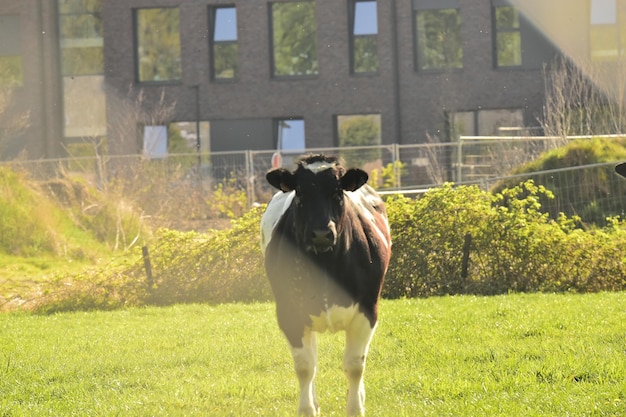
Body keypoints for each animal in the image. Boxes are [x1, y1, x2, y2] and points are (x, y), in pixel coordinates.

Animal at [260, 154, 390, 416]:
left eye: (338, 192)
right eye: (299, 192)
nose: (321, 233)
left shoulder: (367, 311)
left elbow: (354, 365)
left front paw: (355, 407)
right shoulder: (289, 313)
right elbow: (305, 366)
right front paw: (307, 409)